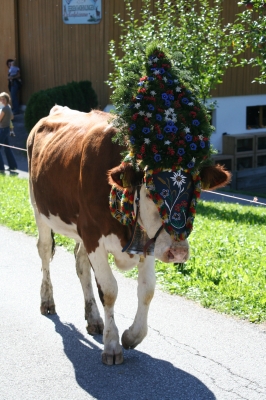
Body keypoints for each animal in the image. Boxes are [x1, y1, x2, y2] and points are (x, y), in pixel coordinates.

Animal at [27, 106, 231, 366]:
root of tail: (55, 109)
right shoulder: (93, 235)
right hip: (39, 208)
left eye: (195, 192)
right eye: (152, 190)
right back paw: (47, 301)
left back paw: (93, 318)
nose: (178, 252)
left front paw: (132, 336)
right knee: (44, 251)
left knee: (80, 263)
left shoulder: (148, 241)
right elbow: (109, 291)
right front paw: (112, 345)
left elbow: (147, 290)